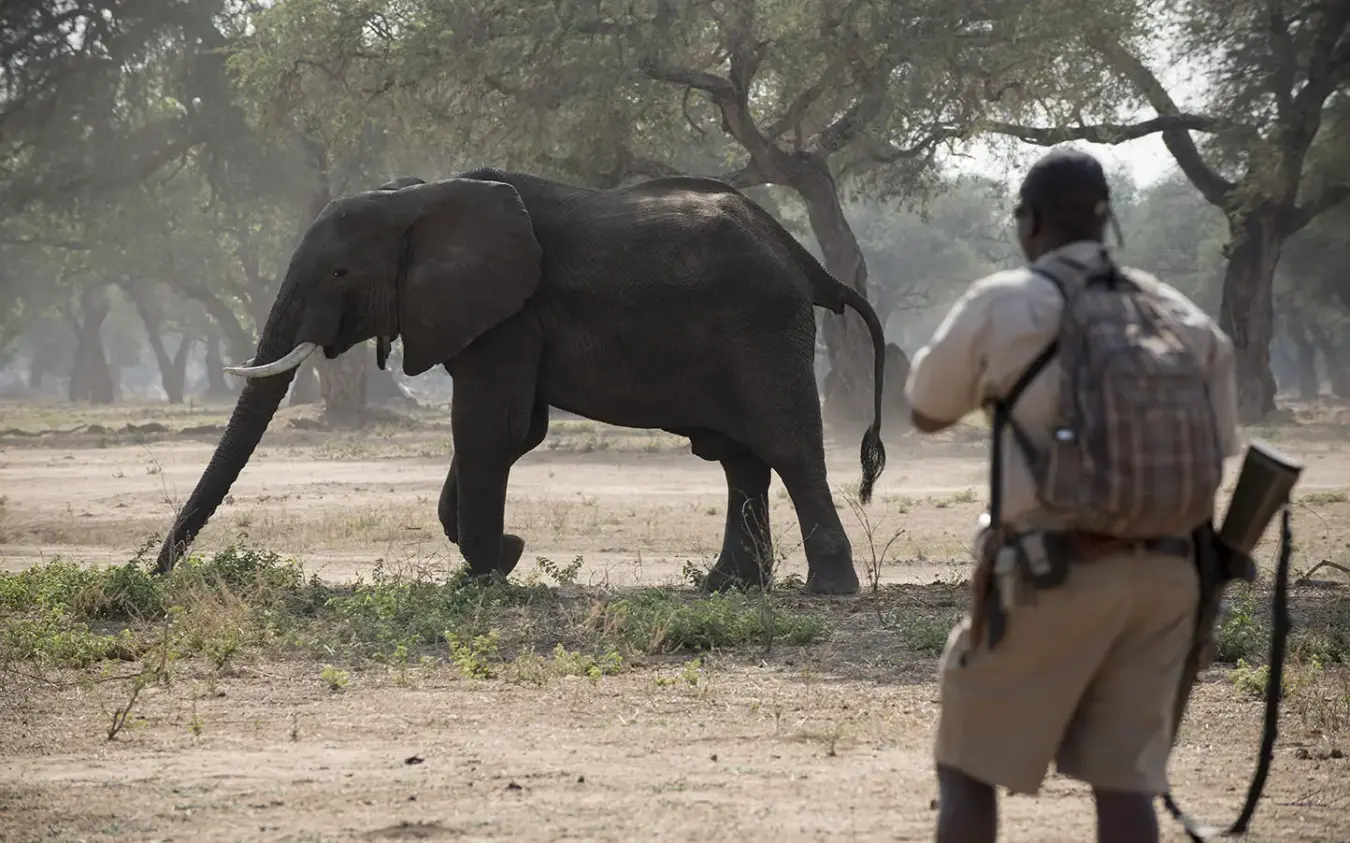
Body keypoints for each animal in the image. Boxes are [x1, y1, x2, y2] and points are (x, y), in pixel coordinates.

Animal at [152, 168, 888, 595]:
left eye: (339, 274)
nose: (156, 576)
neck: (417, 196)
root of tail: (804, 260)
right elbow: (512, 430)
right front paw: (502, 556)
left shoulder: (508, 316)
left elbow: (490, 428)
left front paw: (491, 569)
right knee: (739, 458)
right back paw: (726, 587)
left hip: (762, 330)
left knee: (788, 448)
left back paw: (828, 591)